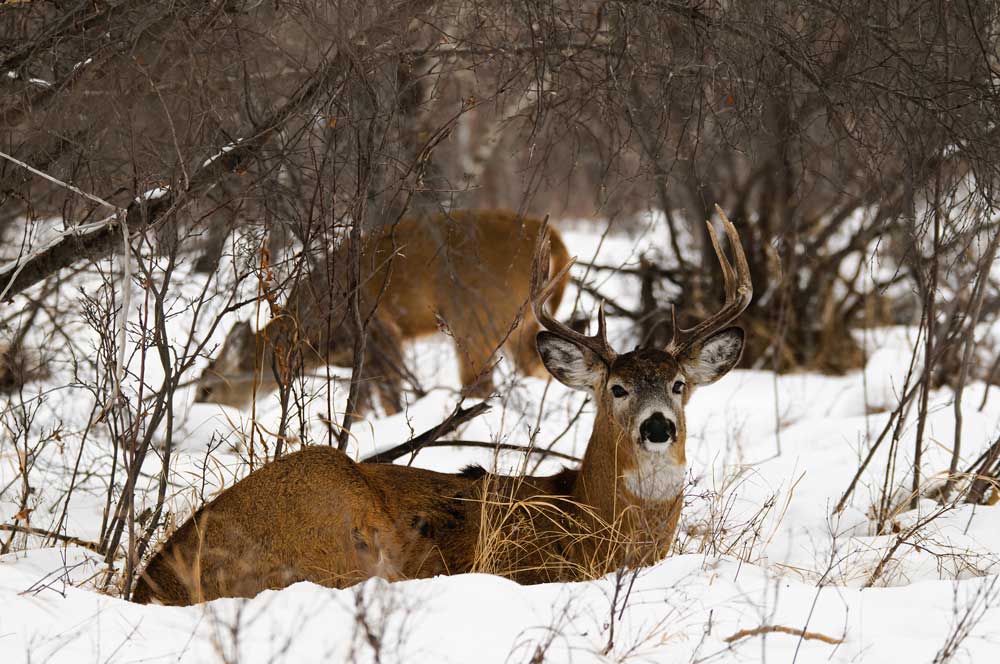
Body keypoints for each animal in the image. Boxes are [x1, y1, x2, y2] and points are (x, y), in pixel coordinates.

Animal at [195, 209, 572, 416]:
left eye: (206, 389)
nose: (197, 407)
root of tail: (555, 238)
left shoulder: (380, 331)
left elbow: (389, 401)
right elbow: (361, 407)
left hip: (476, 319)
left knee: (479, 385)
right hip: (520, 327)